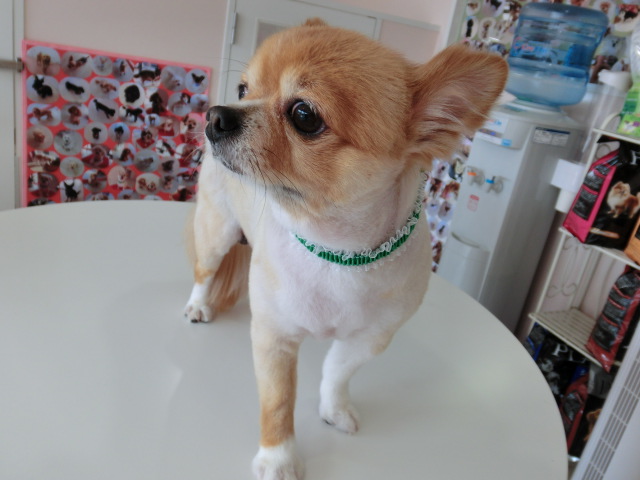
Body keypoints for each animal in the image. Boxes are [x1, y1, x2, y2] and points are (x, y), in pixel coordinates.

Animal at [184, 19, 507, 480]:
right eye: (244, 89)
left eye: (304, 115)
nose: (217, 114)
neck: (336, 252)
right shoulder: (274, 335)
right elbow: (278, 402)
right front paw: (279, 457)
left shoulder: (370, 339)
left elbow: (337, 372)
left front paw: (333, 409)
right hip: (216, 231)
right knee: (204, 271)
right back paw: (198, 304)